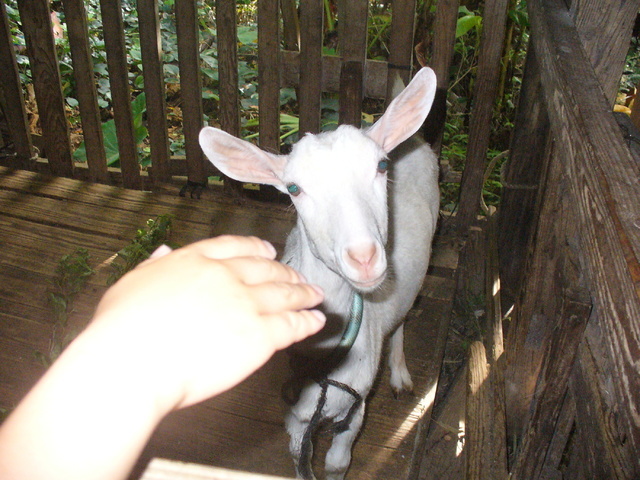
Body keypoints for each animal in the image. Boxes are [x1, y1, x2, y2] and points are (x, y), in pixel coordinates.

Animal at [200, 67, 440, 480]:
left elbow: (338, 462)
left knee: (404, 316)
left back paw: (399, 374)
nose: (364, 257)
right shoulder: (296, 418)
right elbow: (300, 457)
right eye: (294, 188)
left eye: (380, 167)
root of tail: (414, 139)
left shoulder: (356, 404)